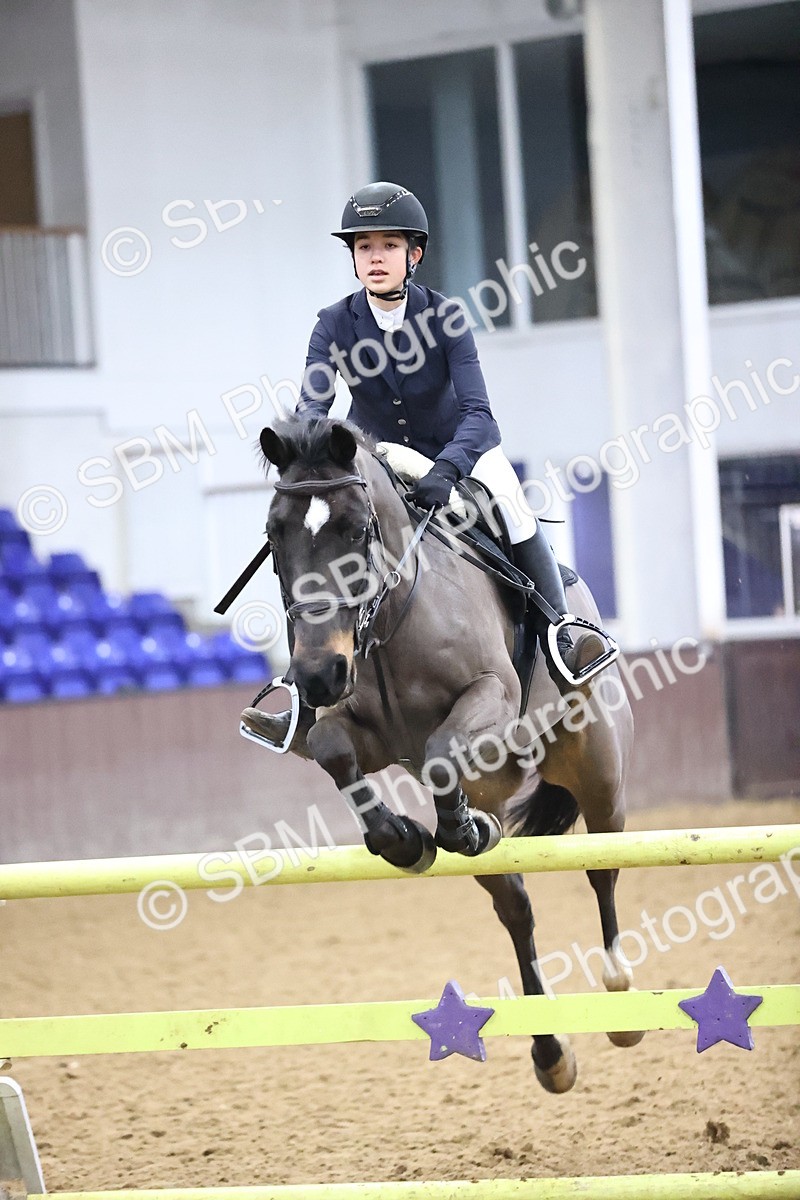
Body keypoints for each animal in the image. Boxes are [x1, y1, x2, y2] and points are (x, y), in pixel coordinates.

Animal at [245, 414, 643, 1093]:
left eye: (357, 528)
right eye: (275, 535)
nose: (319, 675)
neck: (391, 624)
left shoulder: (490, 694)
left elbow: (437, 752)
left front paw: (449, 828)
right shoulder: (363, 730)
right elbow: (331, 748)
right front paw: (405, 840)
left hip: (598, 770)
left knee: (602, 867)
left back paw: (620, 1001)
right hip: (500, 791)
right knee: (516, 907)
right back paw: (550, 1052)